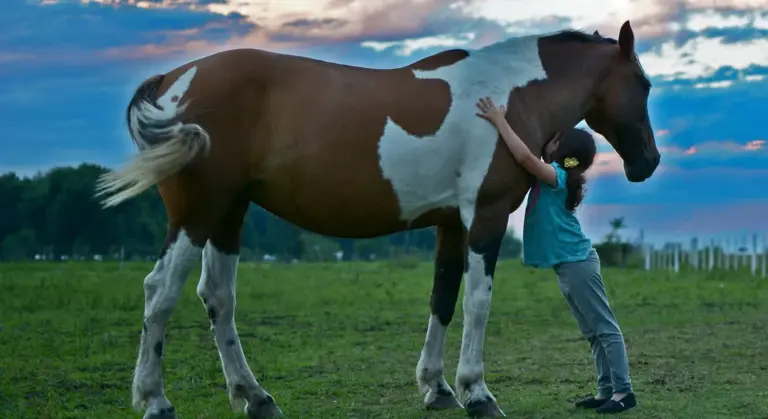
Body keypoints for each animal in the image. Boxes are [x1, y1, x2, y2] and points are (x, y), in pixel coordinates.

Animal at [96, 20, 660, 419]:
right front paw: (477, 393)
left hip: (229, 213)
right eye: (644, 83)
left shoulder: (451, 224)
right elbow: (478, 303)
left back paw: (255, 398)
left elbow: (443, 299)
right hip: (198, 212)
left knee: (217, 297)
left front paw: (437, 388)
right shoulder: (486, 216)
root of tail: (174, 80)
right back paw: (156, 401)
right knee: (160, 292)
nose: (648, 163)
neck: (509, 95)